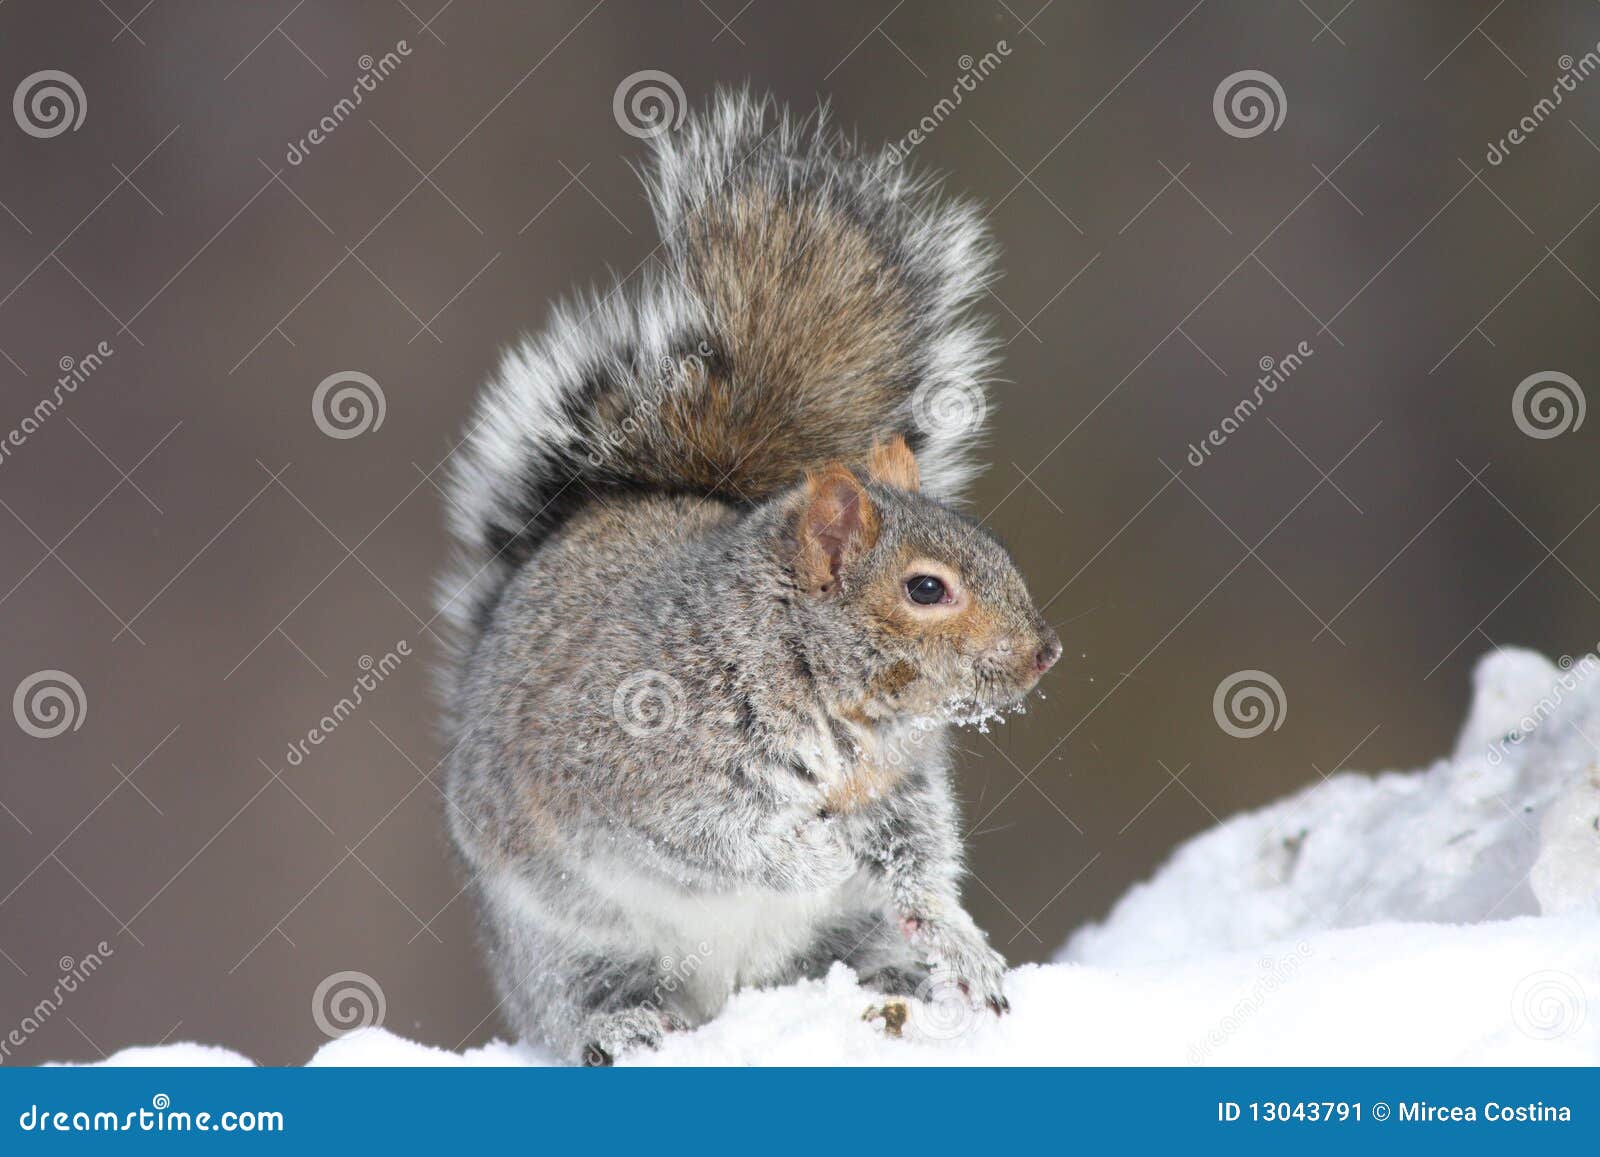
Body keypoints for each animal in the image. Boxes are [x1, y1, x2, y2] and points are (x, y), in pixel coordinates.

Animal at [437, 91, 1061, 1065]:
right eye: (926, 588)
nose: (1044, 652)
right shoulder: (637, 774)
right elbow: (718, 843)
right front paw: (817, 854)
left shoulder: (899, 789)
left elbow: (917, 863)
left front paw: (958, 942)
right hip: (564, 946)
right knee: (577, 1006)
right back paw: (622, 1027)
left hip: (836, 937)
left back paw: (909, 981)